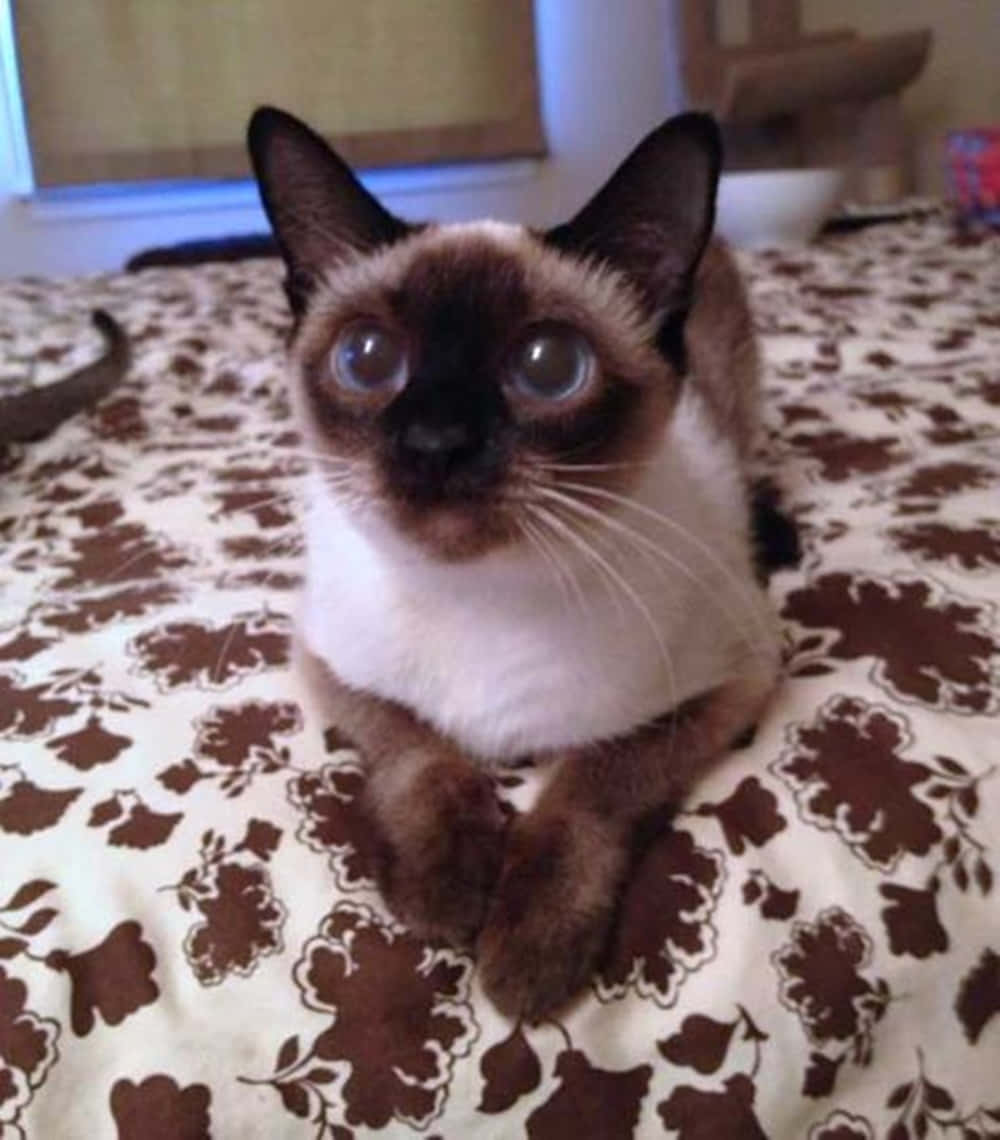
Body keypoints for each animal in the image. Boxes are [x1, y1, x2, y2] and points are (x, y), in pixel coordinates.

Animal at [247, 104, 779, 1016]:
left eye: (549, 368)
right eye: (366, 359)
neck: (479, 598)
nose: (436, 443)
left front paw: (528, 953)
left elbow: (590, 788)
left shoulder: (735, 679)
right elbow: (422, 757)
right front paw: (444, 892)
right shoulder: (327, 663)